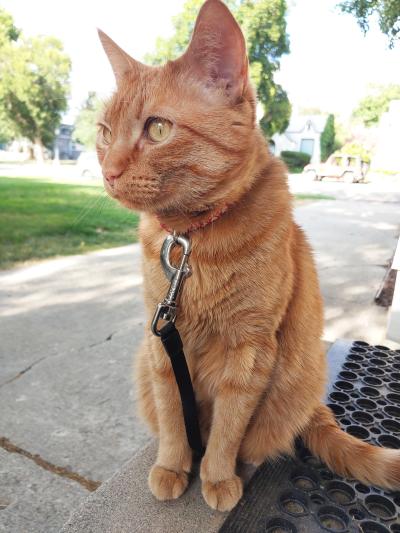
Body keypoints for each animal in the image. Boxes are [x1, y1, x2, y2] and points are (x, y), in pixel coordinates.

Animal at [97, 0, 400, 512]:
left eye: (157, 129)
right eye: (104, 132)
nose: (108, 172)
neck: (193, 242)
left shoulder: (251, 348)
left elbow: (227, 427)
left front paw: (218, 476)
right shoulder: (161, 343)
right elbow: (174, 416)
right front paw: (173, 465)